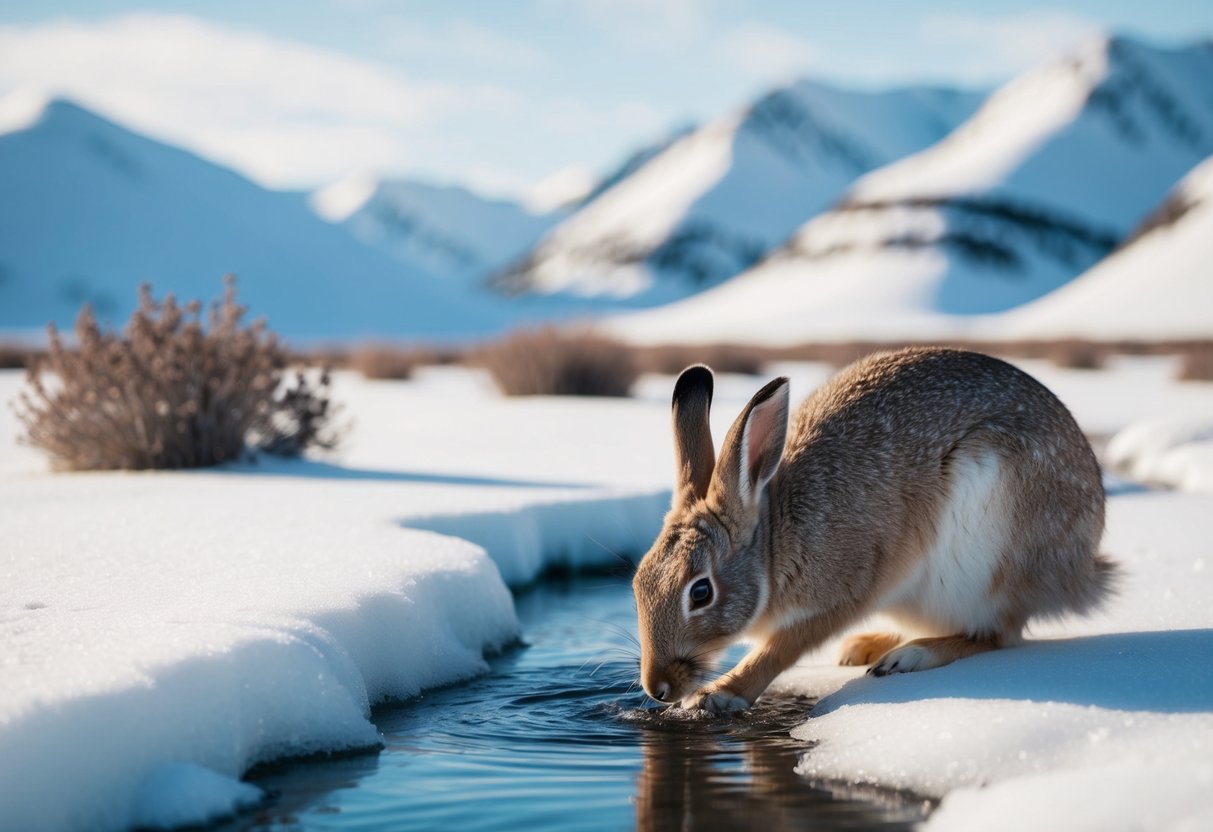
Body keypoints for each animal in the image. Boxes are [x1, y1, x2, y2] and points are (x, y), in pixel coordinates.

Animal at [632, 347, 1116, 714]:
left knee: (997, 634)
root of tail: (1081, 570)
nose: (657, 689)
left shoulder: (845, 591)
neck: (774, 542)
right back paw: (866, 646)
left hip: (991, 541)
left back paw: (909, 656)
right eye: (638, 583)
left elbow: (781, 649)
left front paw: (715, 696)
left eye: (700, 592)